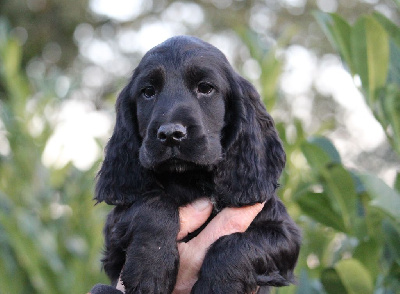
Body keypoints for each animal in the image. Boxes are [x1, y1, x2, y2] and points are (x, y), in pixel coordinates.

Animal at [94, 36, 300, 294]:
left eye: (205, 88)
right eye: (148, 92)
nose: (170, 134)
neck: (192, 179)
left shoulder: (283, 232)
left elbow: (239, 244)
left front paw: (218, 285)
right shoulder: (114, 234)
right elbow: (152, 205)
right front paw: (150, 268)